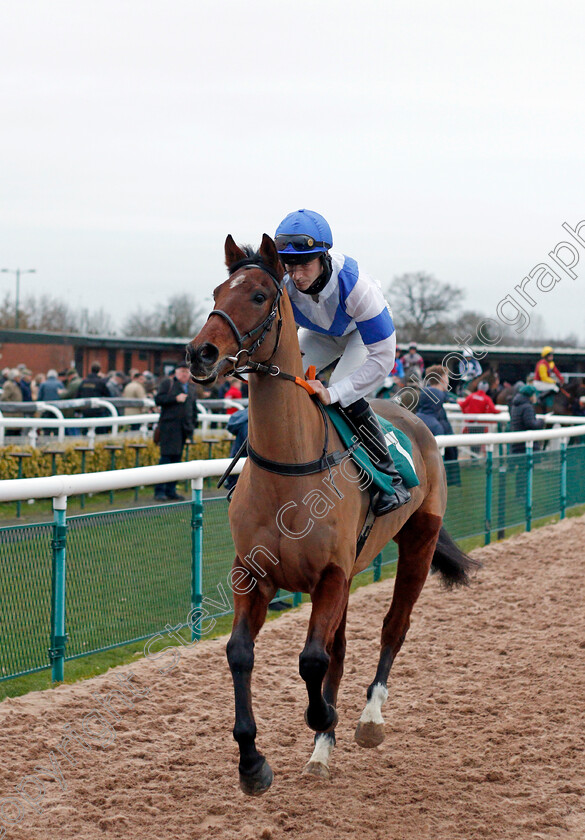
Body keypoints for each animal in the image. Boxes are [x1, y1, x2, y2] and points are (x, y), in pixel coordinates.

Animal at [185, 235, 476, 796]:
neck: (290, 469)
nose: (200, 353)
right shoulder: (251, 574)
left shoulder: (332, 574)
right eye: (215, 292)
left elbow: (312, 659)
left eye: (258, 295)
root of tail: (412, 415)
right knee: (339, 649)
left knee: (394, 626)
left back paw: (368, 719)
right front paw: (252, 762)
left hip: (419, 542)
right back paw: (322, 750)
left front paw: (322, 718)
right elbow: (241, 652)